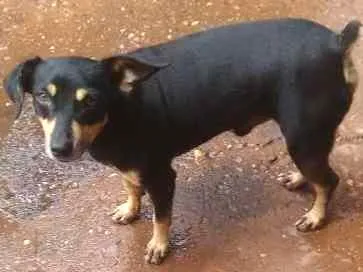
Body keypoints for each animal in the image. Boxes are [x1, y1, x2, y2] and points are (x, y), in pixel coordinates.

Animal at [2, 18, 362, 264]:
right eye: (41, 97)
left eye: (90, 100)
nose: (59, 149)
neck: (120, 107)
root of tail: (335, 43)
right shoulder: (128, 166)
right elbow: (130, 187)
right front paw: (130, 209)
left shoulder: (162, 176)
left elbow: (161, 216)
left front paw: (159, 246)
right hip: (308, 137)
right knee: (318, 170)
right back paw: (301, 179)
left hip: (303, 135)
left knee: (329, 180)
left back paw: (316, 216)